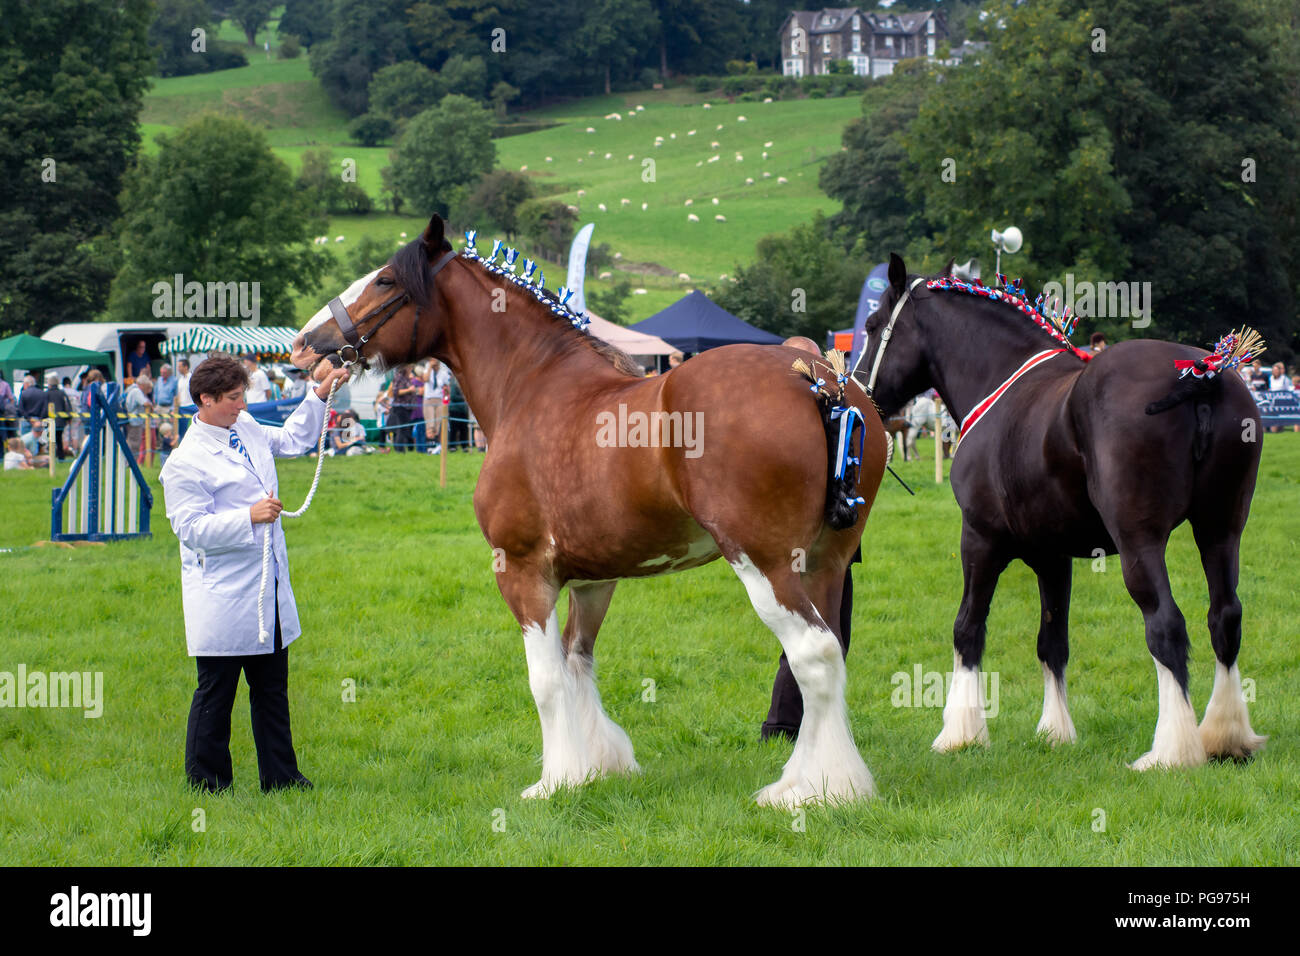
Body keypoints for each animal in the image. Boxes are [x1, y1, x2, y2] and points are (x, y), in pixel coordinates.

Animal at [297, 214, 889, 807]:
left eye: (386, 281)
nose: (305, 345)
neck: (533, 386)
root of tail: (822, 381)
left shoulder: (522, 571)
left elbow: (546, 680)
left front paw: (554, 780)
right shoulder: (592, 579)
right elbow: (578, 662)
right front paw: (598, 767)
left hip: (765, 564)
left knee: (812, 654)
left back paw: (817, 790)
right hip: (823, 565)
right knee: (829, 653)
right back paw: (812, 781)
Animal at [856, 254, 1266, 770]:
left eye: (872, 326)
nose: (857, 389)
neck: (1001, 384)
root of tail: (1201, 374)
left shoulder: (980, 540)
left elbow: (968, 628)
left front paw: (960, 734)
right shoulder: (1053, 557)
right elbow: (1052, 640)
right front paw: (1055, 732)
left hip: (1141, 541)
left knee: (1166, 625)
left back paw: (1172, 750)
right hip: (1220, 529)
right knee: (1224, 616)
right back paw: (1225, 737)